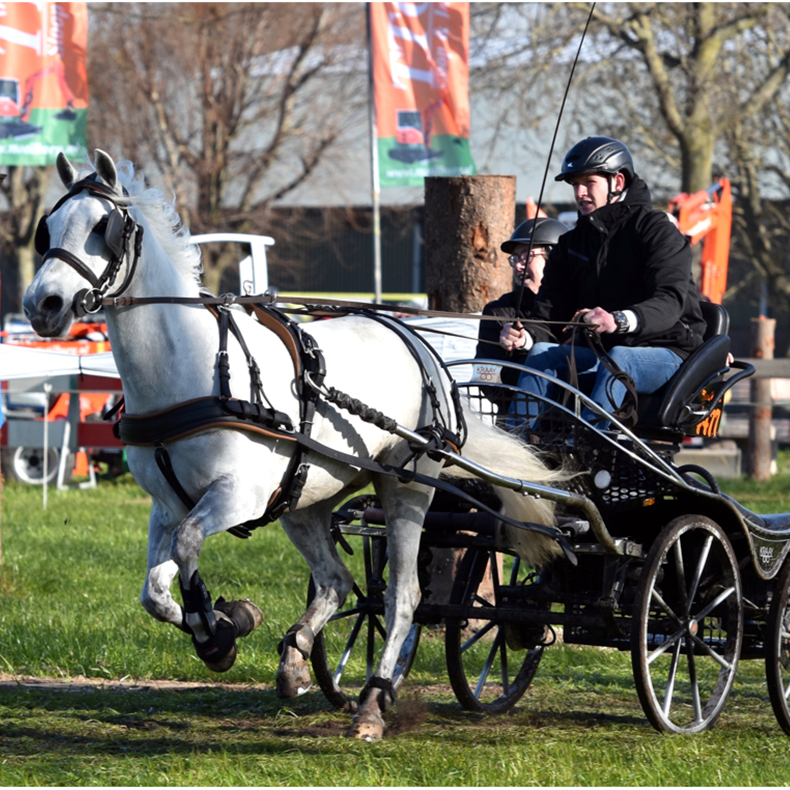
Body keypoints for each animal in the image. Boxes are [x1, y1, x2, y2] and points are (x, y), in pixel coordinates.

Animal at [24, 150, 568, 744]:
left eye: (104, 226)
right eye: (48, 227)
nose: (42, 304)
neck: (191, 370)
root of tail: (417, 340)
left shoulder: (236, 496)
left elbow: (188, 548)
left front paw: (218, 630)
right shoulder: (166, 506)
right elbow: (155, 589)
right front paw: (226, 622)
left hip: (404, 488)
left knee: (402, 598)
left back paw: (373, 701)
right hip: (306, 500)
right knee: (337, 582)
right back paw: (296, 658)